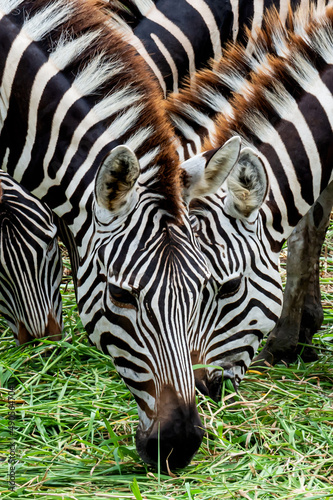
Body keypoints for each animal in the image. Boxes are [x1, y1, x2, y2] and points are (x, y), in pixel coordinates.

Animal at [165, 1, 332, 396]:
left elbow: (308, 234)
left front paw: (287, 338)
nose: (201, 386)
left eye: (229, 287)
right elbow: (306, 232)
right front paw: (297, 334)